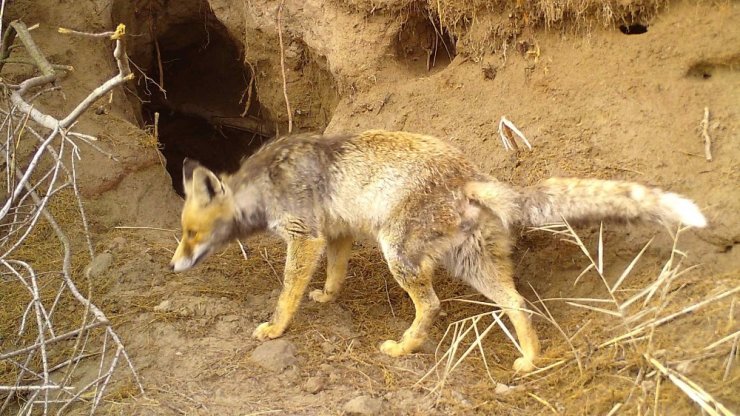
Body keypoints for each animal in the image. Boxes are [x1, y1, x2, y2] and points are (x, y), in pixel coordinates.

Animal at [168, 128, 704, 372]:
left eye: (191, 233)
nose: (173, 265)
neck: (263, 186)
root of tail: (468, 173)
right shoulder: (336, 234)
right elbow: (335, 273)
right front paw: (327, 296)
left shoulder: (306, 237)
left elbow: (286, 294)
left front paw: (276, 328)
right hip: (473, 264)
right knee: (517, 303)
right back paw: (529, 359)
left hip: (397, 253)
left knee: (432, 305)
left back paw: (405, 346)